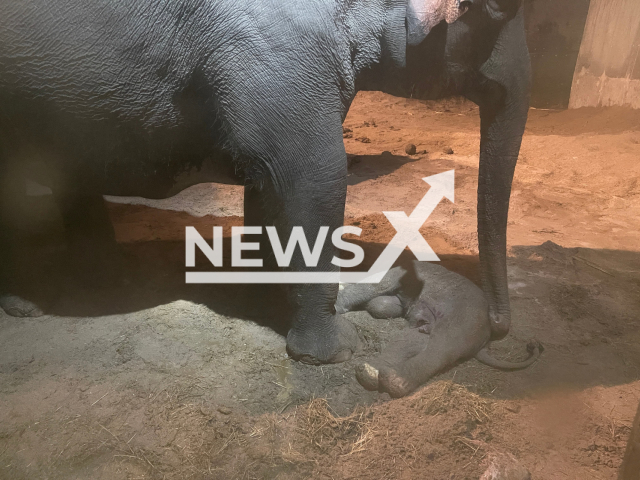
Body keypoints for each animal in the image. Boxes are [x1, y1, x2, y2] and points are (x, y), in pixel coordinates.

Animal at [0, 0, 528, 364]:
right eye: (498, 9)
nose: (499, 327)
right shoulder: (276, 58)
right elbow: (316, 180)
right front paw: (333, 352)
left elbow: (268, 185)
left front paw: (259, 294)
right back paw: (26, 305)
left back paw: (106, 277)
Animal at [336, 262, 540, 398]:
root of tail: (485, 340)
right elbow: (380, 305)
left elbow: (373, 288)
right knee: (414, 338)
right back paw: (369, 371)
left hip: (463, 321)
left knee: (441, 345)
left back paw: (389, 379)